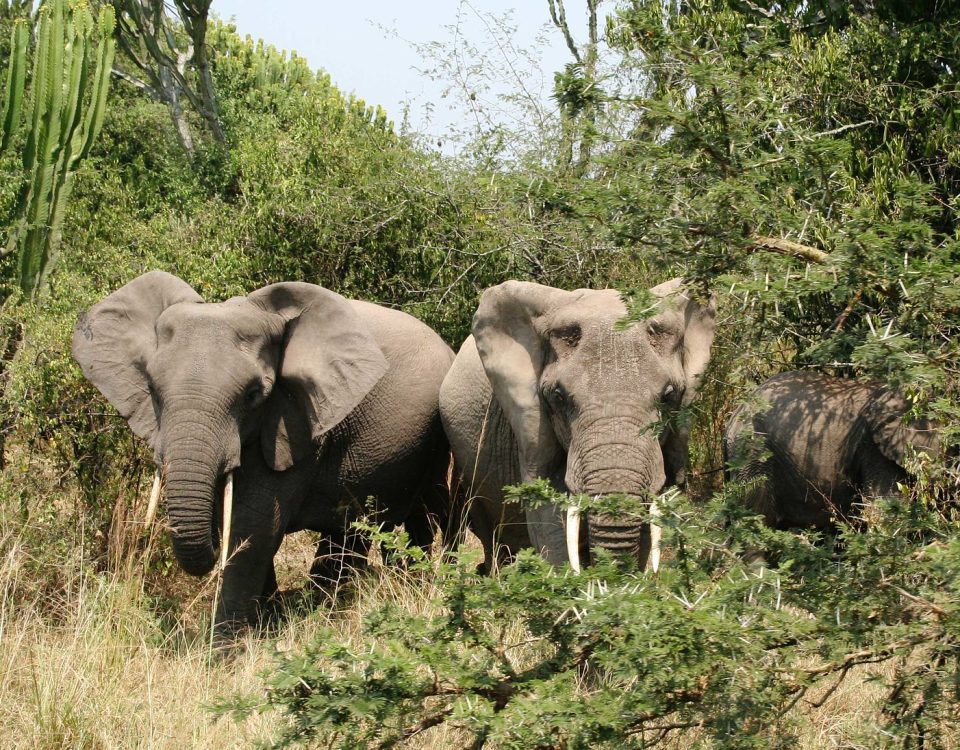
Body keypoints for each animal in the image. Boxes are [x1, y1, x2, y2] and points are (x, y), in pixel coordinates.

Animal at [73, 271, 455, 631]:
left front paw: (227, 649)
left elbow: (252, 529)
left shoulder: (296, 423)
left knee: (425, 513)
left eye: (254, 395)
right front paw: (267, 625)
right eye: (151, 389)